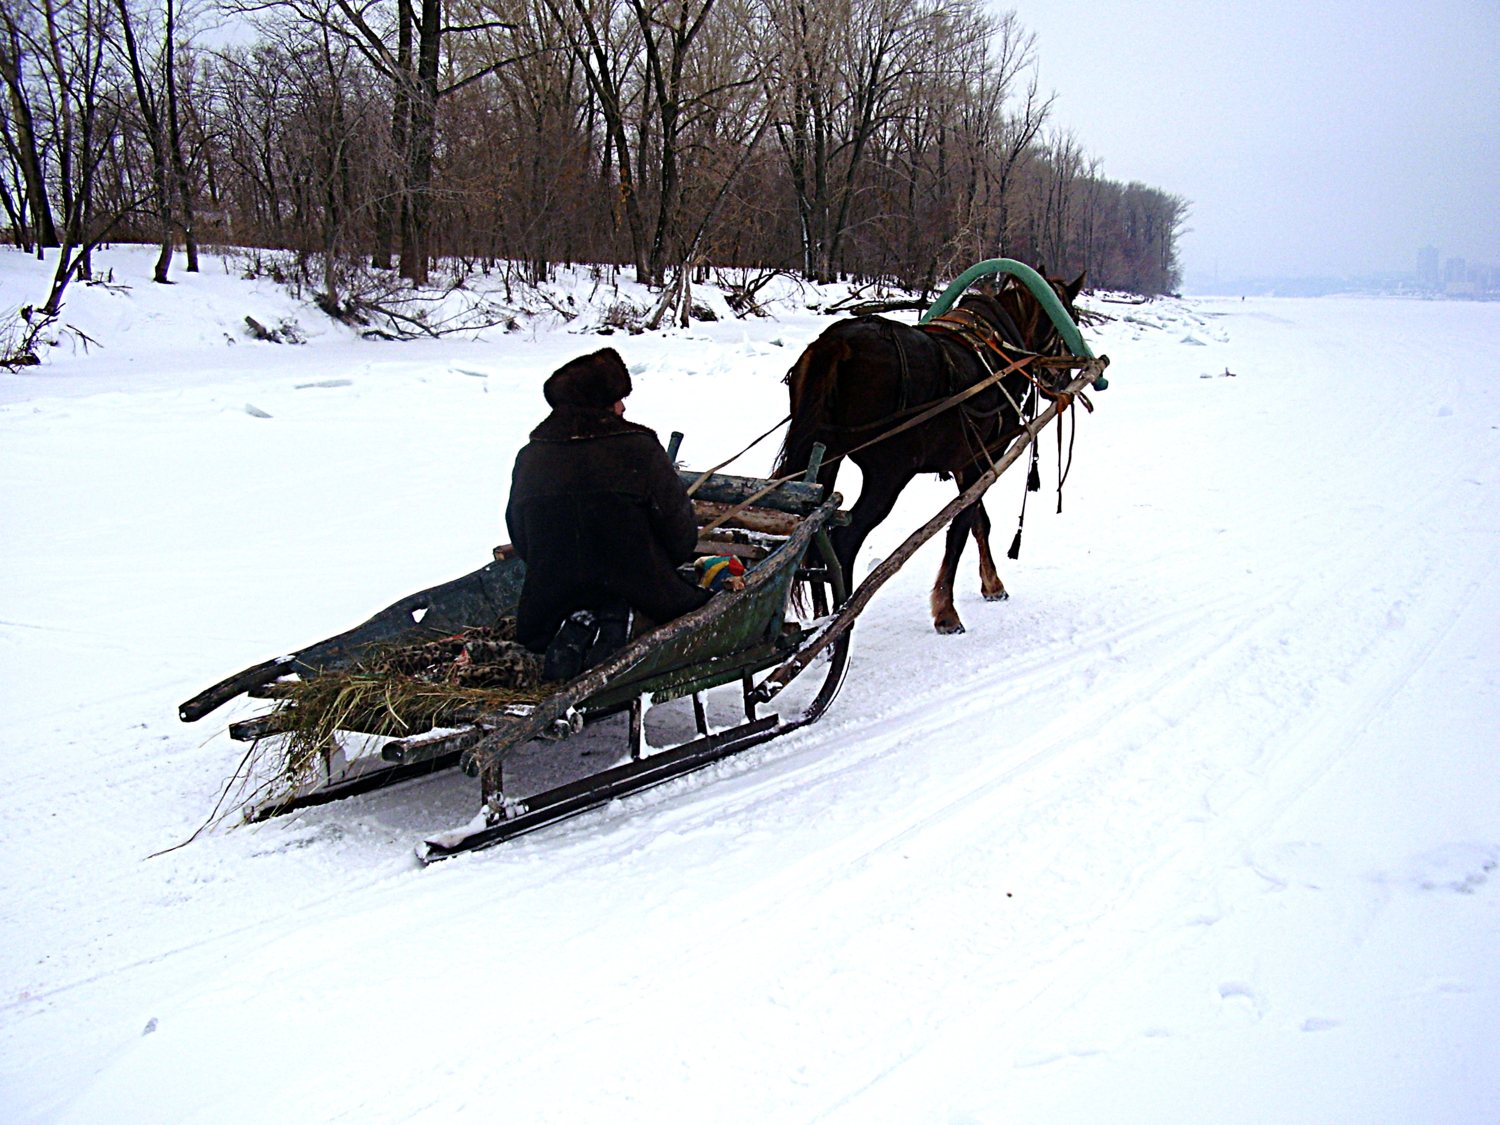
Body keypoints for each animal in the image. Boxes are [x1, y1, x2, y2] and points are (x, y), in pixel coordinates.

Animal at [774, 271, 1080, 636]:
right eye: (1070, 317)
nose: (1061, 377)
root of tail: (838, 344)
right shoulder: (982, 459)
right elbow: (961, 528)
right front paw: (946, 611)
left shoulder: (965, 464)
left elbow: (979, 523)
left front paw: (991, 584)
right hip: (888, 475)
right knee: (843, 541)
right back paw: (840, 623)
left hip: (824, 455)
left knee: (816, 535)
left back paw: (822, 617)